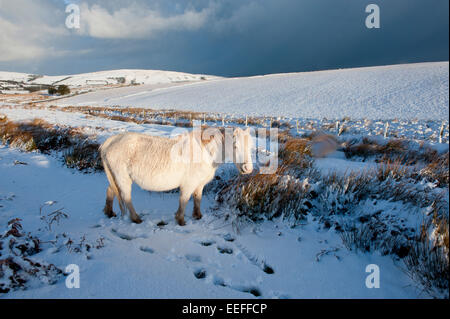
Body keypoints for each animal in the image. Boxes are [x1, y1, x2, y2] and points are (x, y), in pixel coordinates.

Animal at [99, 126, 253, 226]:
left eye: (251, 146)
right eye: (235, 146)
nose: (248, 168)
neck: (205, 152)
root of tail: (110, 141)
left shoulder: (199, 184)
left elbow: (197, 199)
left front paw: (197, 216)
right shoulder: (189, 184)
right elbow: (184, 200)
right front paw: (181, 220)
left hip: (116, 178)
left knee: (110, 191)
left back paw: (109, 212)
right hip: (123, 178)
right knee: (126, 197)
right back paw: (136, 219)